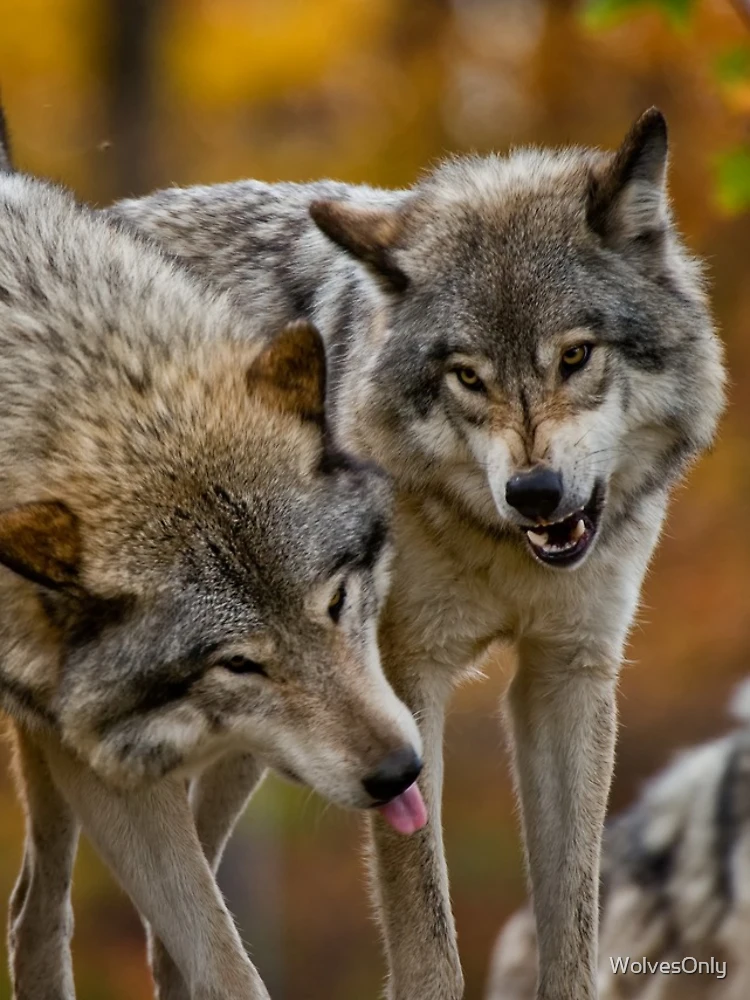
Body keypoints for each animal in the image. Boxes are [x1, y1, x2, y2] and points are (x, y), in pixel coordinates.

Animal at [0, 117, 426, 1000]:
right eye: (237, 663)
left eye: (336, 602)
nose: (401, 773)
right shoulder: (101, 759)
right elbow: (219, 959)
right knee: (34, 911)